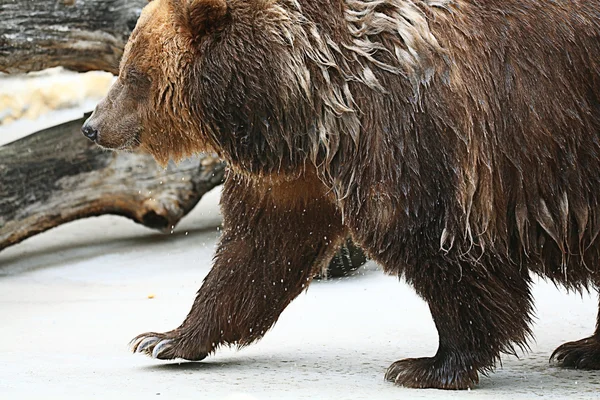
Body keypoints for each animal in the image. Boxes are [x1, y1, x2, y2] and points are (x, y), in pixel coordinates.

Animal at [83, 0, 600, 390]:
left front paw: (427, 365)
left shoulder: (411, 131)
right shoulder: (301, 170)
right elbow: (258, 249)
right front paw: (164, 338)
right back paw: (581, 349)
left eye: (132, 74)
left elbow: (435, 243)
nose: (92, 125)